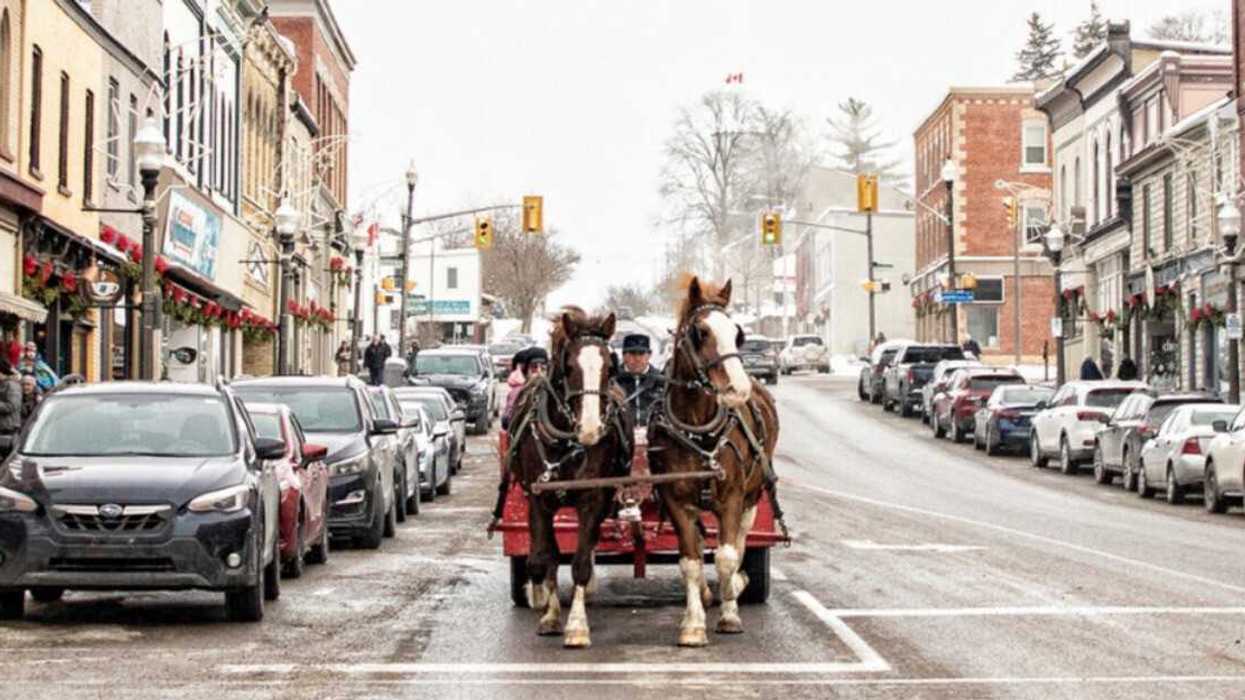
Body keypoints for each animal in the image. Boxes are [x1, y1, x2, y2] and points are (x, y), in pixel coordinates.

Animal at [505, 307, 632, 648]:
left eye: (609, 366)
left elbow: (580, 563)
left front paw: (576, 626)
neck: (567, 442)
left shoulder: (593, 498)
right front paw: (549, 614)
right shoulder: (538, 498)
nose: (589, 429)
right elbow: (544, 555)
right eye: (570, 366)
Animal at [649, 276, 780, 647]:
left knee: (740, 542)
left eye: (738, 333)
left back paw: (733, 586)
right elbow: (691, 560)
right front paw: (693, 624)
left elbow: (726, 556)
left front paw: (730, 613)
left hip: (753, 495)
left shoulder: (732, 497)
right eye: (700, 332)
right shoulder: (676, 500)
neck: (698, 430)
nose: (738, 388)